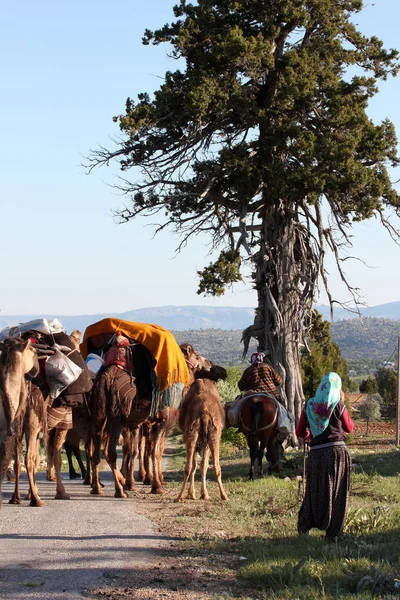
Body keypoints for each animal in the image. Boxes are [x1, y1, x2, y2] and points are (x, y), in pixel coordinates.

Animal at [175, 364, 228, 504]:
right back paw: (224, 495)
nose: (225, 372)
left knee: (190, 466)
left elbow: (198, 465)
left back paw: (180, 496)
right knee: (213, 466)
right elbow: (201, 465)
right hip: (212, 434)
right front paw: (200, 494)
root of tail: (204, 410)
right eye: (213, 368)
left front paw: (194, 494)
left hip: (193, 433)